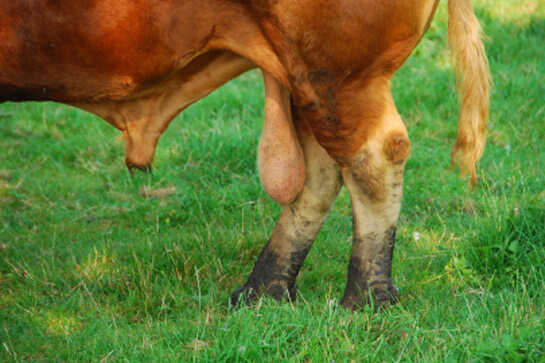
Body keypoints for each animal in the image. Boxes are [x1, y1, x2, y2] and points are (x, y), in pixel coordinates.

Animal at [0, 0, 488, 310]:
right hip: (303, 76)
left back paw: (366, 298)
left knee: (375, 156)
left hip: (342, 73)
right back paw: (262, 290)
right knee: (321, 173)